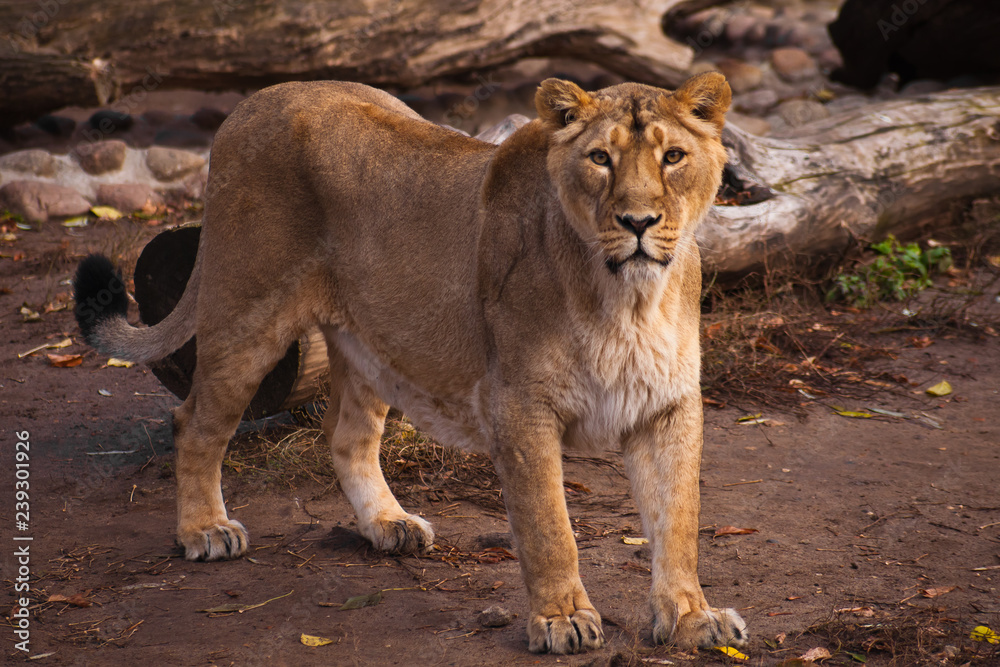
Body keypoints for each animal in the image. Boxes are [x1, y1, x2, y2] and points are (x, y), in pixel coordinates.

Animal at [73, 73, 747, 654]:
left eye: (674, 157)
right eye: (600, 159)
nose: (638, 221)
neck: (630, 300)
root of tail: (257, 99)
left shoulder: (669, 407)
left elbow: (678, 524)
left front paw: (692, 618)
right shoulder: (520, 406)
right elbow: (550, 526)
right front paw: (561, 620)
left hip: (371, 342)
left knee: (344, 435)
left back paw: (387, 523)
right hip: (246, 315)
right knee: (195, 422)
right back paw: (204, 530)